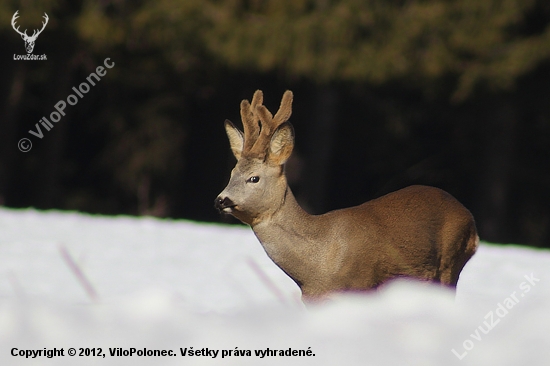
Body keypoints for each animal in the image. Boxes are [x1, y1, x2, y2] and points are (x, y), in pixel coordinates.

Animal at [216, 91, 478, 300]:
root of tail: (470, 220)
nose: (221, 200)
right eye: (231, 173)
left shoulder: (363, 285)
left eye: (254, 178)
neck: (317, 266)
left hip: (450, 262)